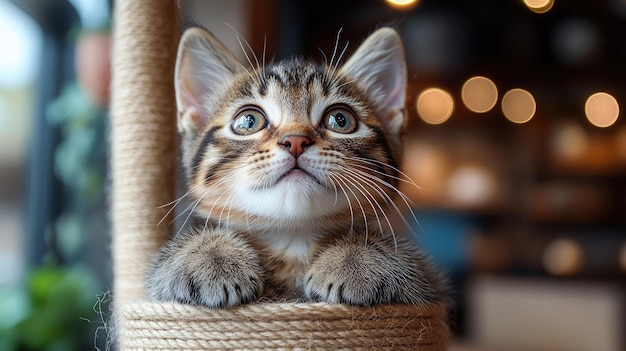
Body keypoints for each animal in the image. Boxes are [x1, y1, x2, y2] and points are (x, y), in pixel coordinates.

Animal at [145, 26, 448, 308]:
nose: (295, 141)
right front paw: (208, 255)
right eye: (248, 121)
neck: (293, 239)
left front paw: (359, 257)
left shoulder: (433, 286)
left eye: (340, 120)